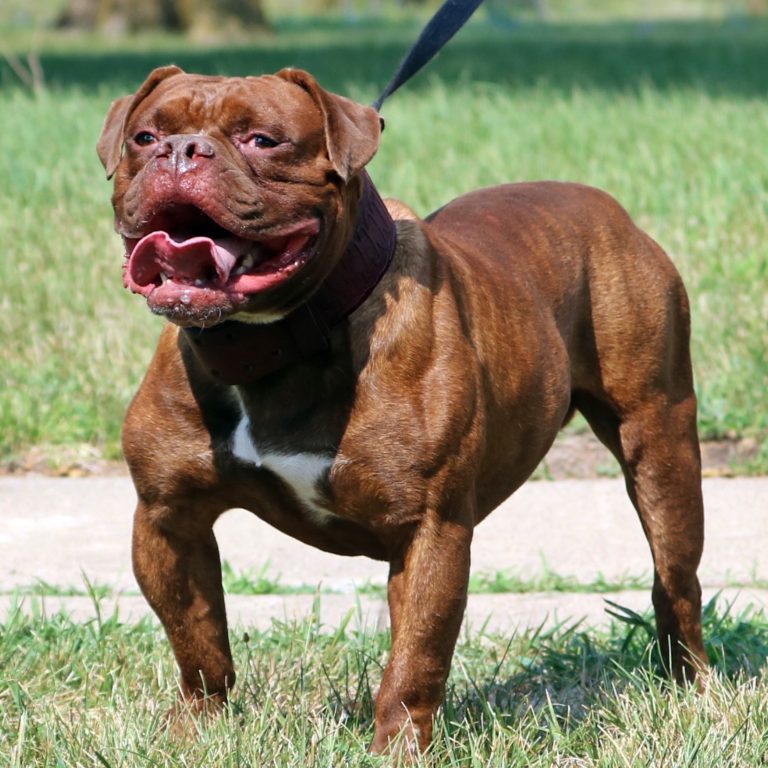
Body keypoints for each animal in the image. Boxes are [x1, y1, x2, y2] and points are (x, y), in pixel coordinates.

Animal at [97, 66, 708, 756]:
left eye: (262, 140)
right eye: (145, 137)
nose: (181, 151)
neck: (279, 341)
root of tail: (610, 208)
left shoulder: (430, 530)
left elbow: (416, 659)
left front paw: (398, 751)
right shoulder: (168, 518)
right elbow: (198, 639)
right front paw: (197, 729)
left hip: (660, 446)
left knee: (676, 578)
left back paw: (694, 688)